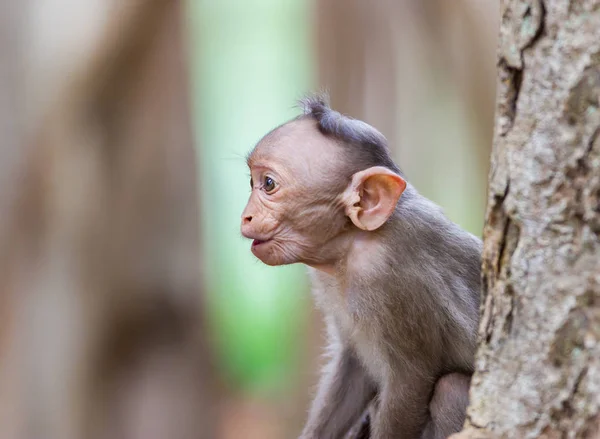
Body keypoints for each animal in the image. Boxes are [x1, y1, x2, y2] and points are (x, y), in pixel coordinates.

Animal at [241, 96, 480, 439]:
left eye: (268, 184)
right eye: (252, 182)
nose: (246, 215)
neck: (351, 242)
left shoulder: (391, 278)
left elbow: (410, 384)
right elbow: (355, 366)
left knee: (451, 392)